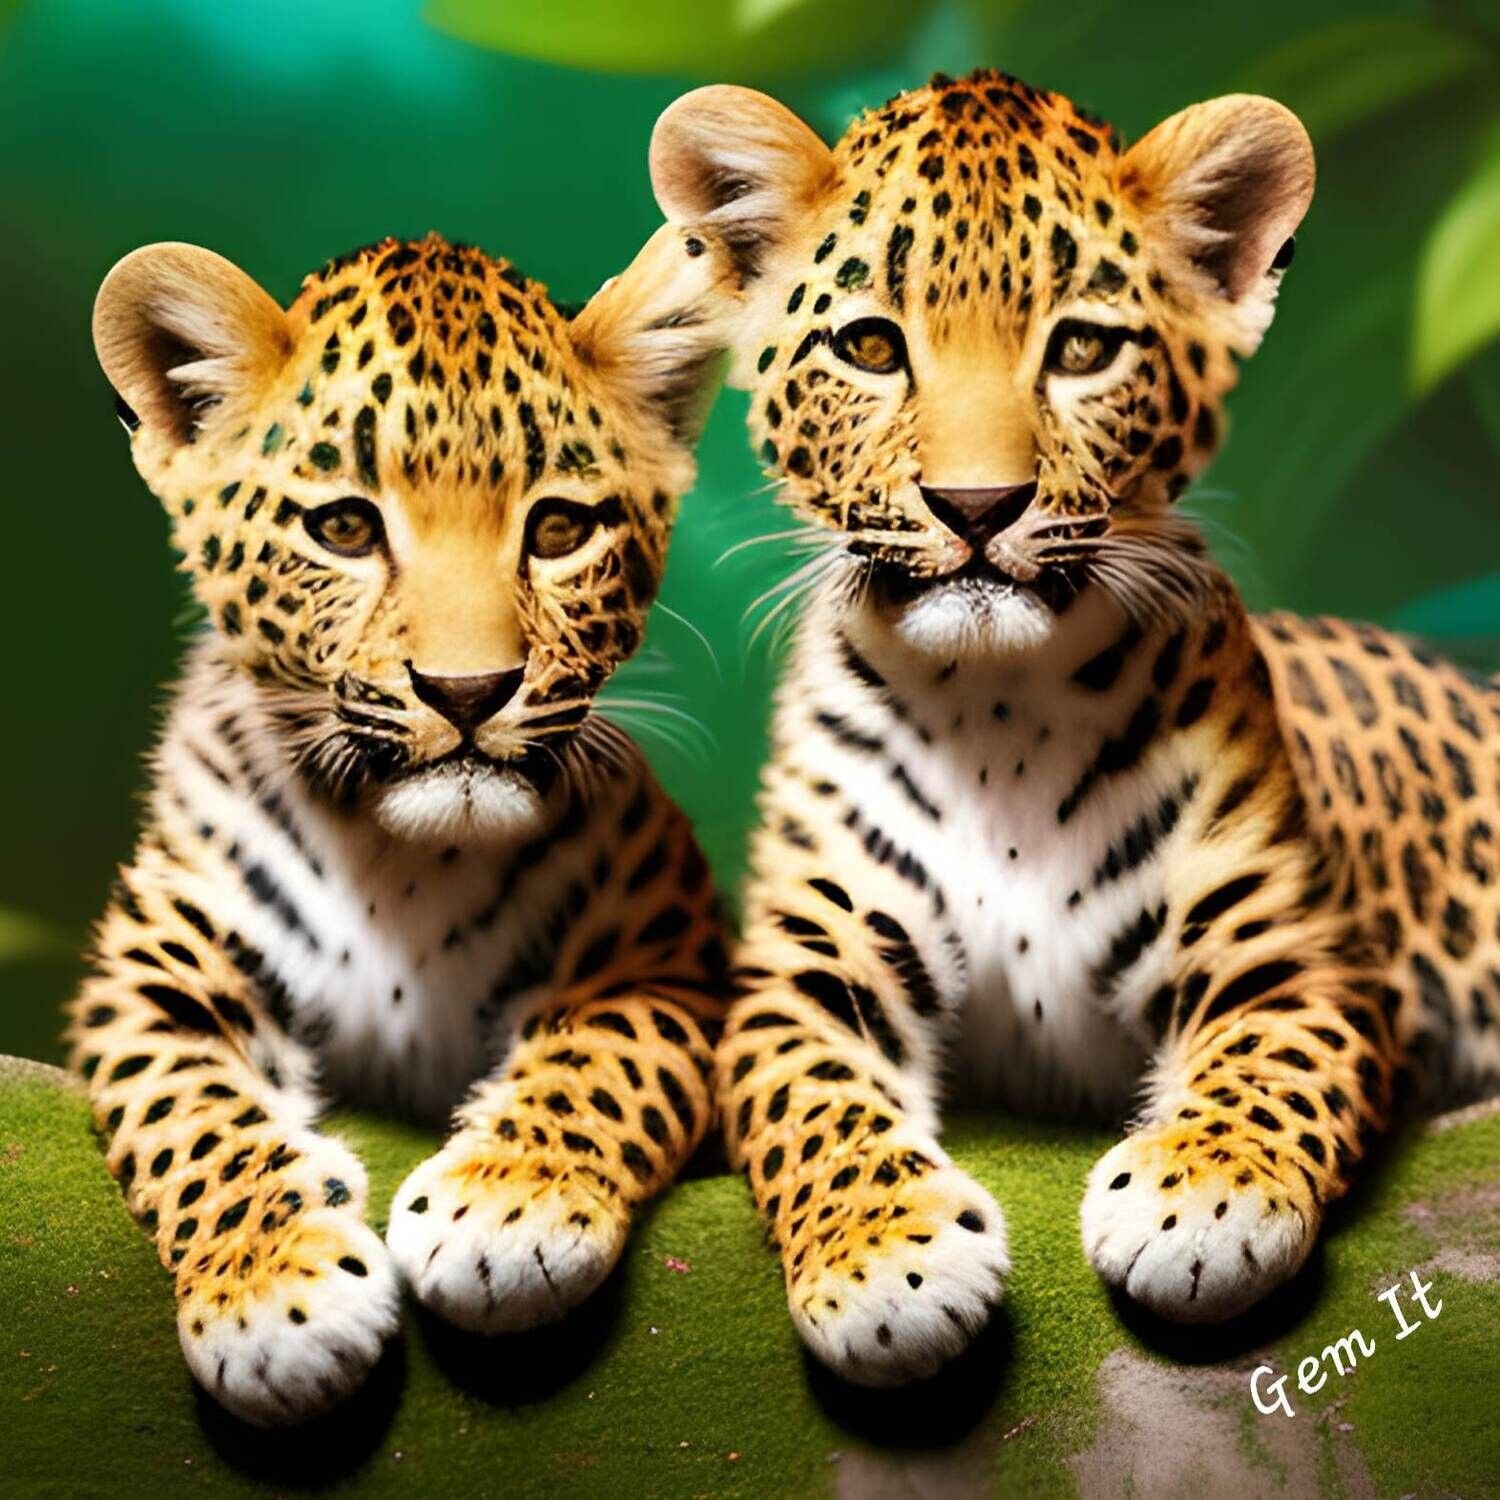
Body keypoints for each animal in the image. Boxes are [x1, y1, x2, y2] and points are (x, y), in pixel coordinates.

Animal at [69, 224, 735, 1424]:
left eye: (558, 527)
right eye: (343, 527)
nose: (468, 693)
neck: (408, 859)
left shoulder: (669, 956)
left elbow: (605, 1056)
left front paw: (510, 1209)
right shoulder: (149, 981)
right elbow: (190, 1117)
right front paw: (275, 1295)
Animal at [647, 71, 1500, 1387]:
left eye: (1084, 348)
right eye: (871, 346)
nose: (977, 506)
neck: (994, 703)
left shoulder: (1295, 961)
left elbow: (1270, 1071)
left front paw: (1204, 1199)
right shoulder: (803, 975)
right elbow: (816, 1108)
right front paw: (886, 1262)